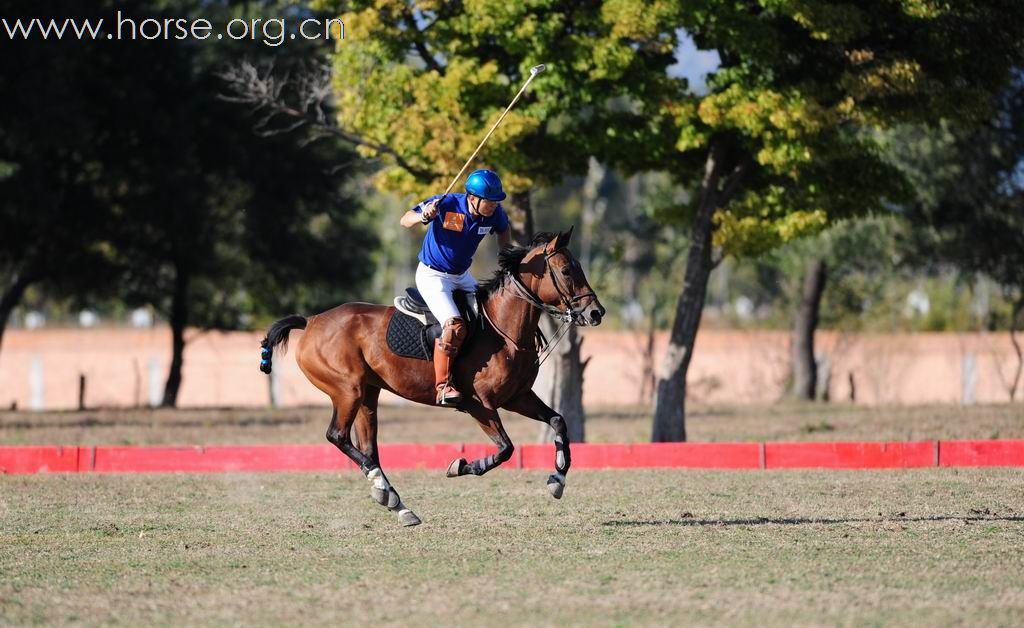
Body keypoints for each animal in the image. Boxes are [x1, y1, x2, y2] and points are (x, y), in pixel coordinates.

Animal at [260, 227, 602, 524]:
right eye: (567, 271)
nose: (596, 312)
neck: (504, 330)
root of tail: (311, 321)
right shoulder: (479, 404)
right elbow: (505, 448)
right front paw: (460, 465)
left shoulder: (517, 398)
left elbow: (558, 421)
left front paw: (557, 478)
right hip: (347, 390)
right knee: (337, 435)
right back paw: (386, 492)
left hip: (368, 394)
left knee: (368, 447)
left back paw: (395, 502)